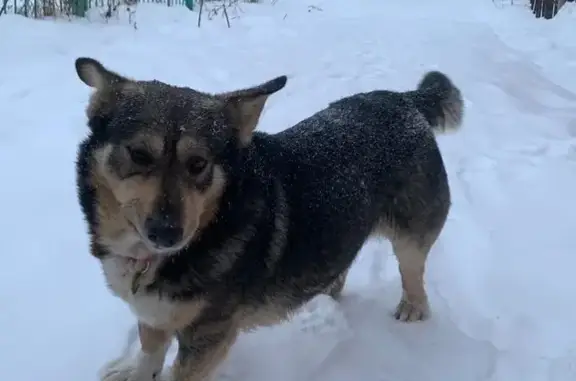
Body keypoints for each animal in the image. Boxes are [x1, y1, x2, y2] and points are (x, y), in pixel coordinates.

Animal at [75, 56, 464, 380]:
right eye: (139, 154)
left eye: (199, 164)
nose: (167, 233)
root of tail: (406, 101)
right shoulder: (153, 313)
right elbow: (150, 347)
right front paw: (137, 371)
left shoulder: (209, 336)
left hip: (412, 235)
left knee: (412, 273)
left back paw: (412, 309)